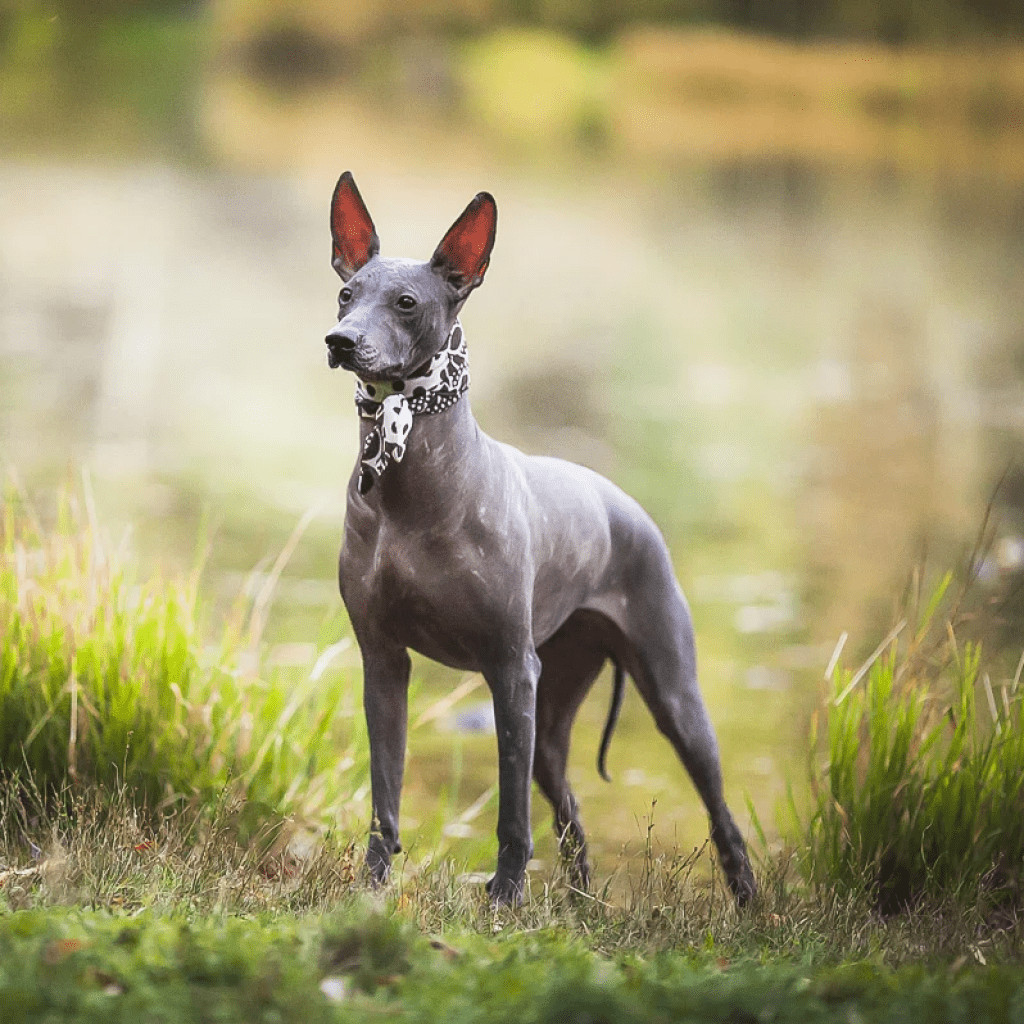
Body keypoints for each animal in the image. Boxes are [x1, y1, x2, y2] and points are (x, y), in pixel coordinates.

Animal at [323, 172, 757, 909]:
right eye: (346, 294)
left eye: (407, 303)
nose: (340, 340)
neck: (413, 489)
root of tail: (626, 504)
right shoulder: (383, 664)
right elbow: (386, 794)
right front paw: (373, 887)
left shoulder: (508, 671)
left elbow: (510, 814)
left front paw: (503, 897)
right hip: (553, 715)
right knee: (572, 810)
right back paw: (579, 902)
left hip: (671, 697)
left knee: (719, 811)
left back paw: (749, 900)